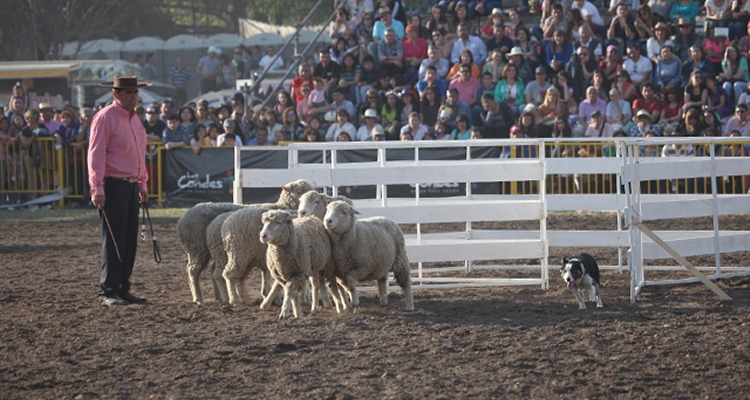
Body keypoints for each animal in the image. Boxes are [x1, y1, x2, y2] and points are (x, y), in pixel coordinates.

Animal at [178, 180, 316, 304]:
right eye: (299, 192)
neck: (281, 207)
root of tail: (182, 220)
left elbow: (266, 274)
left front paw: (268, 295)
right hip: (200, 249)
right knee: (196, 271)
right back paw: (203, 298)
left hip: (218, 253)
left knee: (212, 272)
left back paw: (219, 297)